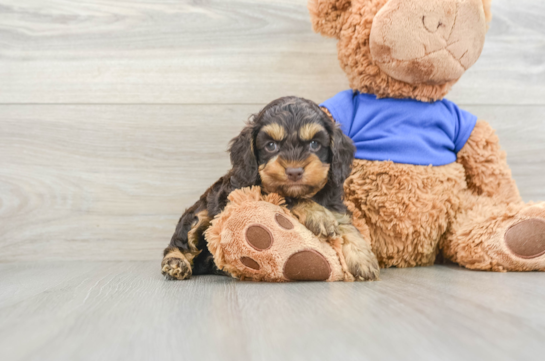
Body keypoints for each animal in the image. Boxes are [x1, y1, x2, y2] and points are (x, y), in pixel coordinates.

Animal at [162, 97, 378, 280]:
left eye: (315, 144)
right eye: (271, 146)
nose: (294, 172)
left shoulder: (335, 204)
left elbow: (347, 225)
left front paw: (362, 258)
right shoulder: (249, 190)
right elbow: (285, 196)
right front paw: (318, 216)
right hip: (199, 215)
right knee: (179, 243)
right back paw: (176, 262)